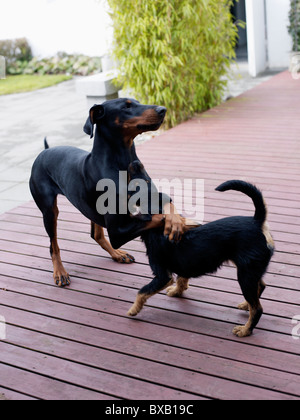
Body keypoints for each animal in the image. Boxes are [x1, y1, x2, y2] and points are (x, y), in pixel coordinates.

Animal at [126, 161, 274, 338]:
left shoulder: (162, 276)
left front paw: (133, 309)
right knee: (260, 288)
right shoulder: (183, 265)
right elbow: (182, 279)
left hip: (245, 275)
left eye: (141, 183)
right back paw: (246, 305)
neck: (158, 226)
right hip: (251, 271)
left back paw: (245, 330)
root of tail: (257, 222)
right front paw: (177, 291)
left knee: (257, 308)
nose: (135, 162)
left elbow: (142, 291)